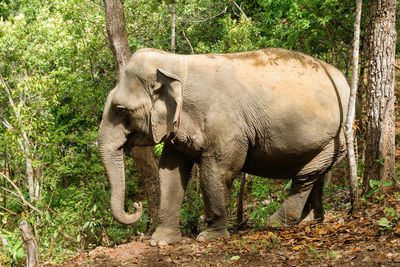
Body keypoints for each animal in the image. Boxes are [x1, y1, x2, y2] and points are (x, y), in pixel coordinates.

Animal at [97, 47, 350, 245]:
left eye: (120, 109)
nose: (136, 205)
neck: (176, 63)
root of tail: (343, 79)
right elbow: (170, 172)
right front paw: (161, 241)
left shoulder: (226, 125)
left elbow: (218, 171)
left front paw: (209, 237)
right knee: (315, 174)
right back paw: (311, 220)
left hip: (337, 136)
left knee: (304, 177)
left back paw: (273, 223)